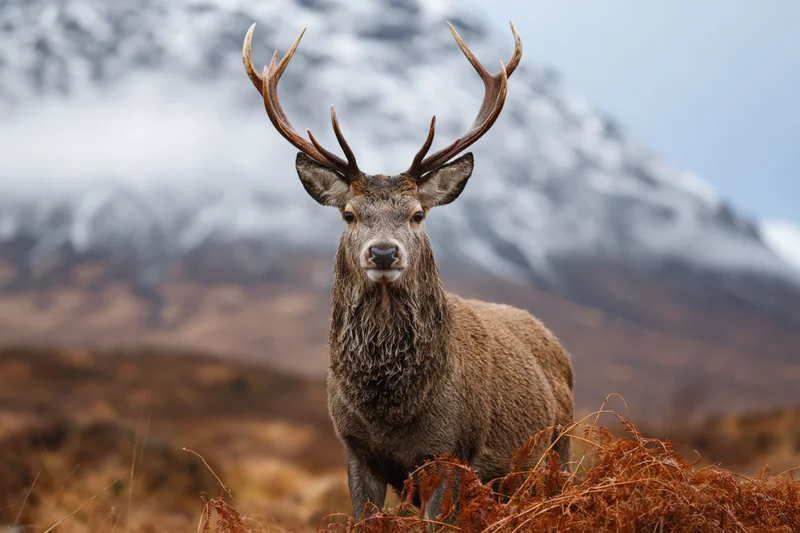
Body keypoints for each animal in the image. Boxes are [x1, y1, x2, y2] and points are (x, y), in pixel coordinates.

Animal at [242, 20, 575, 522]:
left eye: (418, 215)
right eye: (349, 214)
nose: (383, 253)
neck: (390, 412)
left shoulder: (452, 451)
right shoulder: (355, 450)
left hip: (558, 452)